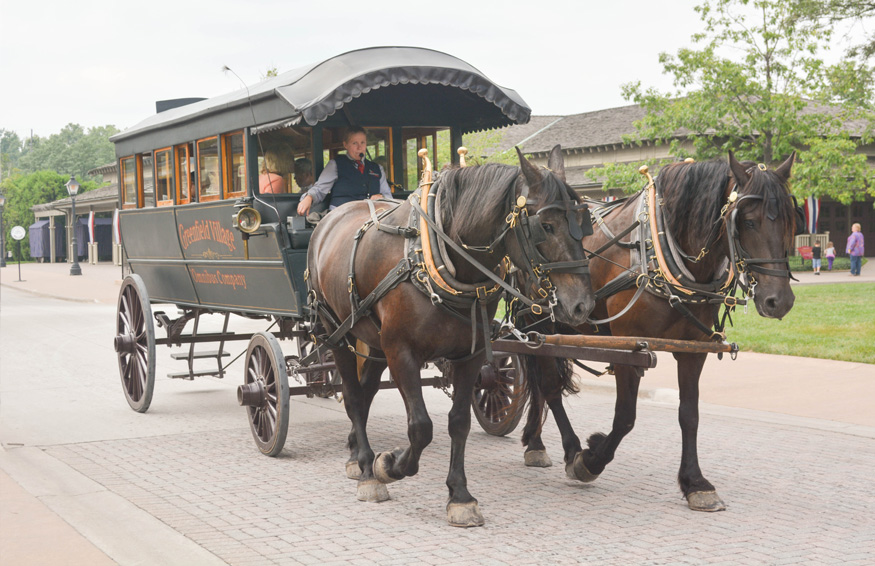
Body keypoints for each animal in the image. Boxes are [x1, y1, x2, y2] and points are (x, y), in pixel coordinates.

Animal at [306, 146, 596, 528]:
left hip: (373, 341)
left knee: (365, 393)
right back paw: (368, 466)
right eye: (545, 226)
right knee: (353, 396)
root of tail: (329, 219)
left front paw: (460, 495)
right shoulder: (401, 351)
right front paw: (389, 465)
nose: (582, 305)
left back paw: (357, 452)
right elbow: (421, 427)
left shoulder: (468, 356)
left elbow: (458, 422)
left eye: (585, 223)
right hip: (336, 332)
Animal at [520, 153, 800, 512]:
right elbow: (625, 416)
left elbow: (689, 414)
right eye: (749, 222)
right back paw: (564, 448)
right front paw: (590, 459)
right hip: (537, 320)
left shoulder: (693, 348)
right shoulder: (628, 347)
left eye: (791, 221)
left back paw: (535, 441)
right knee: (548, 386)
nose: (779, 300)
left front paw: (696, 482)